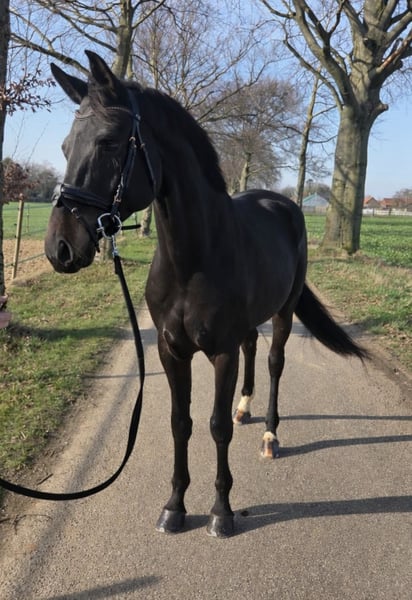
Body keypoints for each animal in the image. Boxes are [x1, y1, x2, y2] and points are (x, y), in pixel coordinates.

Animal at [45, 51, 367, 538]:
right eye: (65, 147)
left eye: (109, 142)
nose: (60, 248)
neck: (192, 259)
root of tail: (283, 204)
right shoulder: (170, 350)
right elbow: (181, 423)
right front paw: (174, 507)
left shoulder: (220, 353)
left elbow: (216, 427)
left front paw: (221, 511)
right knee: (252, 349)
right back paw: (245, 407)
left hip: (284, 312)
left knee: (274, 362)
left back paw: (269, 434)